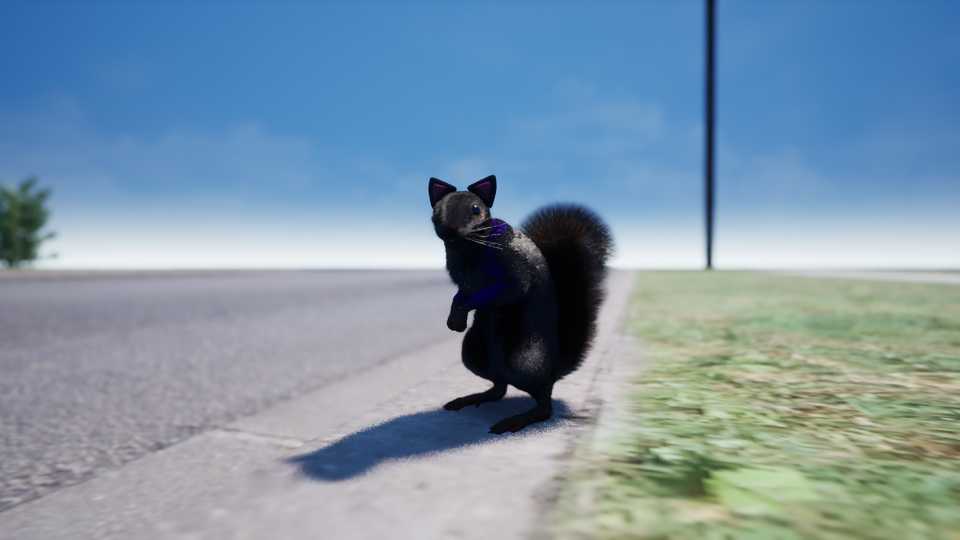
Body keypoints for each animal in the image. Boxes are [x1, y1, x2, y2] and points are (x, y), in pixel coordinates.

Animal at [428, 175, 613, 434]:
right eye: (437, 209)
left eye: (475, 209)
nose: (449, 229)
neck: (467, 247)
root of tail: (553, 370)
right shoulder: (463, 281)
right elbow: (460, 295)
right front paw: (455, 319)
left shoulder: (512, 271)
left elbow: (504, 292)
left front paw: (461, 313)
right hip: (475, 352)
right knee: (499, 388)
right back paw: (471, 398)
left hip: (523, 360)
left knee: (544, 405)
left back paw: (515, 420)